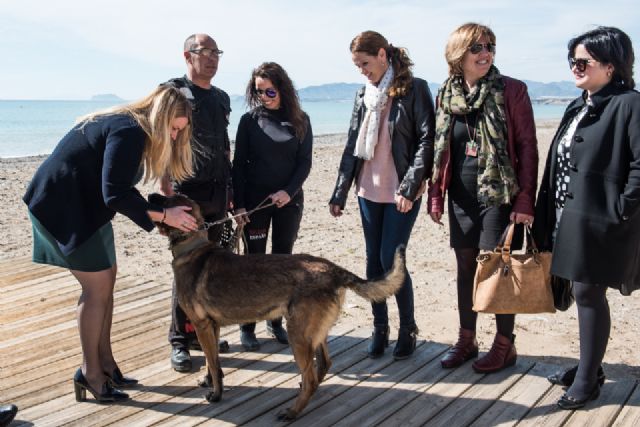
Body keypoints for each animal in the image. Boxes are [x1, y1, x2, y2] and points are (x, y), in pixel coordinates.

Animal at [151, 195, 404, 422]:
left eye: (165, 200)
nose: (151, 198)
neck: (191, 246)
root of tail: (333, 269)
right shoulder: (211, 327)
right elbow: (210, 360)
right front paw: (209, 380)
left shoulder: (201, 326)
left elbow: (212, 363)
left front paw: (216, 394)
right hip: (314, 334)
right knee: (323, 365)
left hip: (298, 335)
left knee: (312, 377)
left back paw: (292, 412)